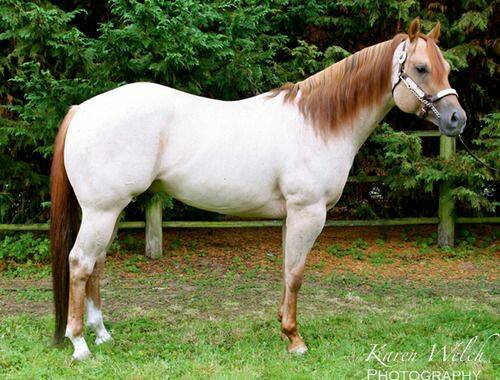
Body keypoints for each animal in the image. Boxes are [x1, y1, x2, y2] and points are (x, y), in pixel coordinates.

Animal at [49, 17, 464, 360]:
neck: (318, 123)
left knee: (97, 264)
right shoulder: (307, 213)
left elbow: (286, 270)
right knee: (80, 263)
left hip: (111, 211)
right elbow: (296, 273)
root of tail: (82, 110)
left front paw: (283, 327)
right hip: (102, 211)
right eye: (421, 68)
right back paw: (80, 344)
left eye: (447, 69)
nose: (457, 119)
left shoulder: (290, 217)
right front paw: (295, 339)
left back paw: (102, 334)